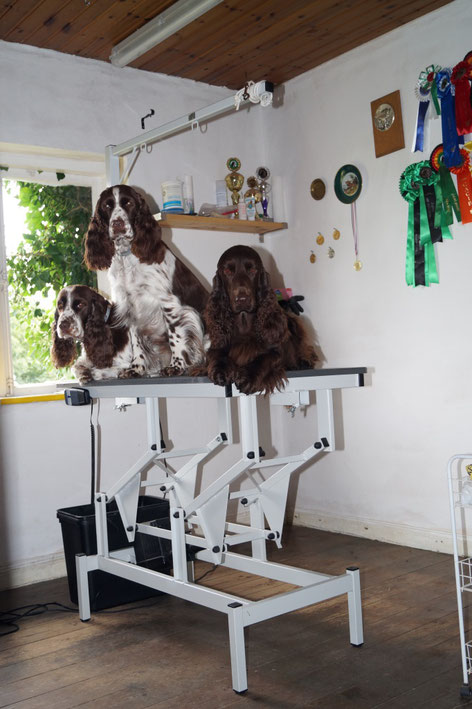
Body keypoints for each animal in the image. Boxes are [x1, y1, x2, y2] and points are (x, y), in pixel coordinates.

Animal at [83, 187, 208, 376]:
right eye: (107, 206)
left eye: (128, 203)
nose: (117, 224)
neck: (127, 257)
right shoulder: (130, 307)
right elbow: (136, 343)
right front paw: (136, 368)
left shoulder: (169, 303)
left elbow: (175, 336)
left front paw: (176, 366)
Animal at [203, 246, 318, 396]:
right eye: (227, 271)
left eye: (252, 270)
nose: (242, 299)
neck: (244, 322)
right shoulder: (219, 343)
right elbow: (217, 355)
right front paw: (220, 370)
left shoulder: (276, 351)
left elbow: (264, 358)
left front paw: (248, 377)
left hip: (293, 323)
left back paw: (305, 361)